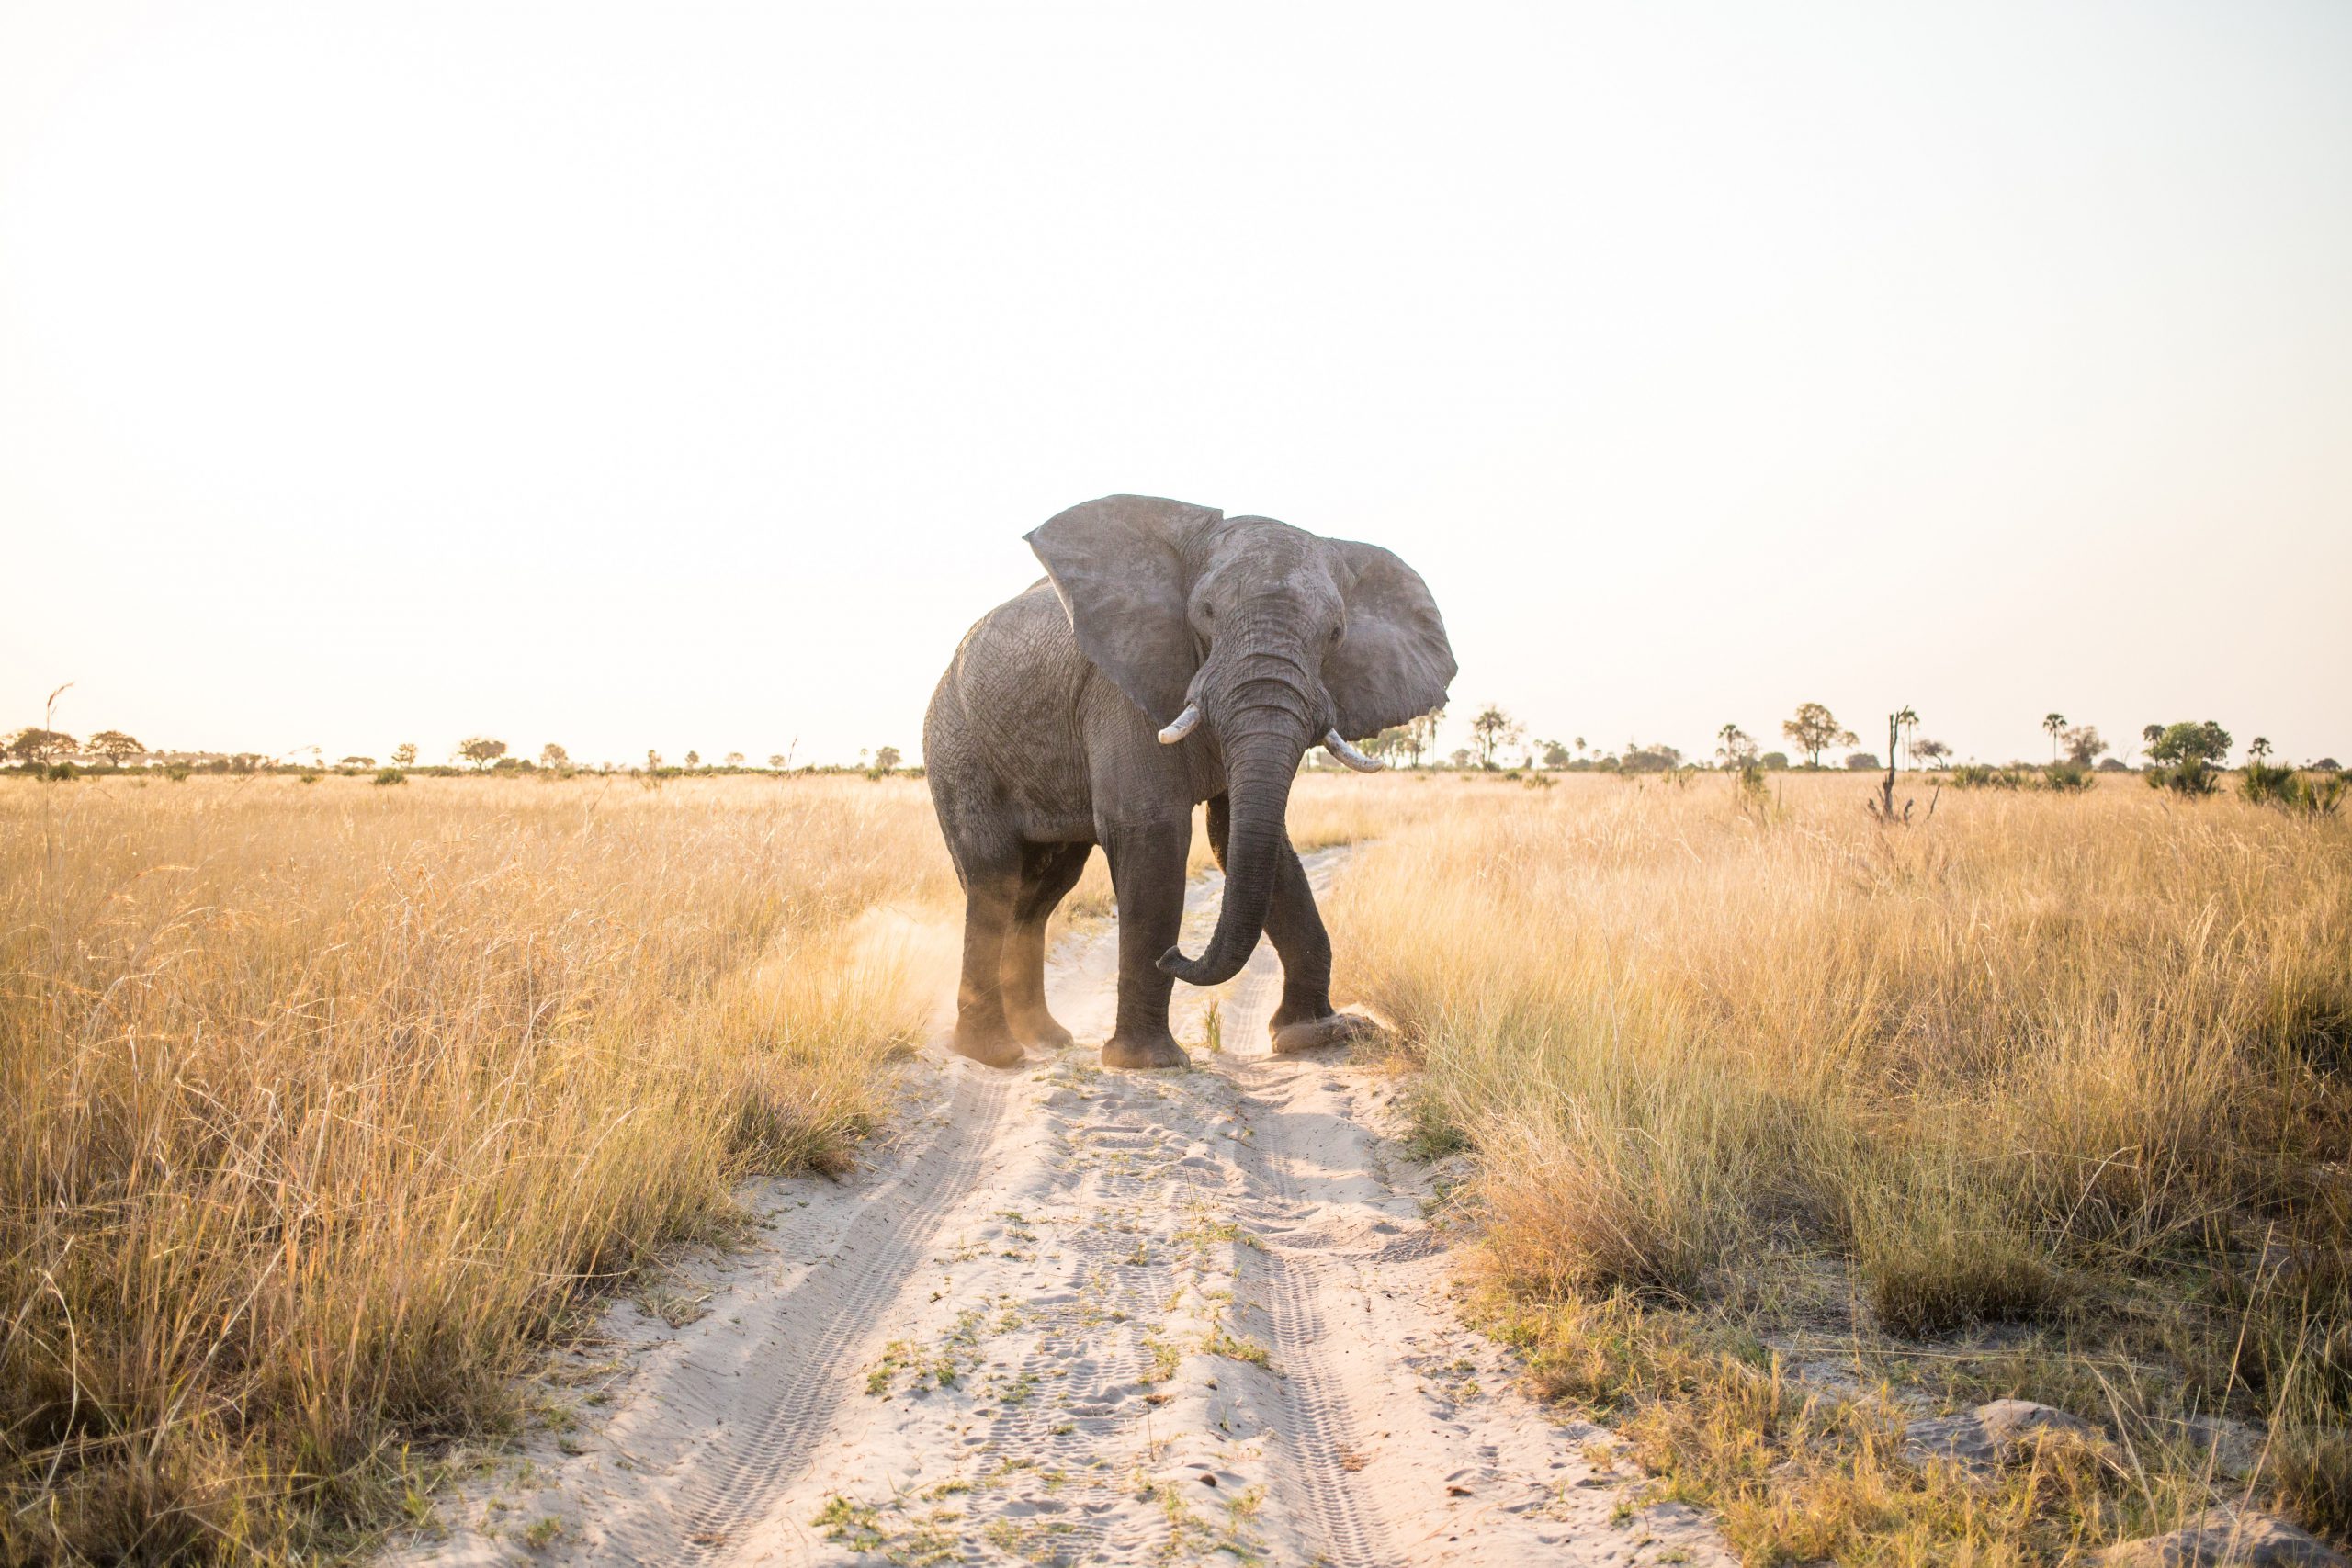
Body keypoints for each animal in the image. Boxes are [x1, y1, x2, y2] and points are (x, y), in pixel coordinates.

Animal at [922, 495, 1448, 1072]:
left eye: (1335, 634)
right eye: (1207, 613)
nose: (1174, 954)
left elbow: (1241, 836)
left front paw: (1320, 1035)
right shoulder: (1120, 688)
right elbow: (1151, 827)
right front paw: (1149, 1063)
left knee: (1041, 891)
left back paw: (1047, 1039)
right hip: (955, 741)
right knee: (993, 875)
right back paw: (994, 1053)